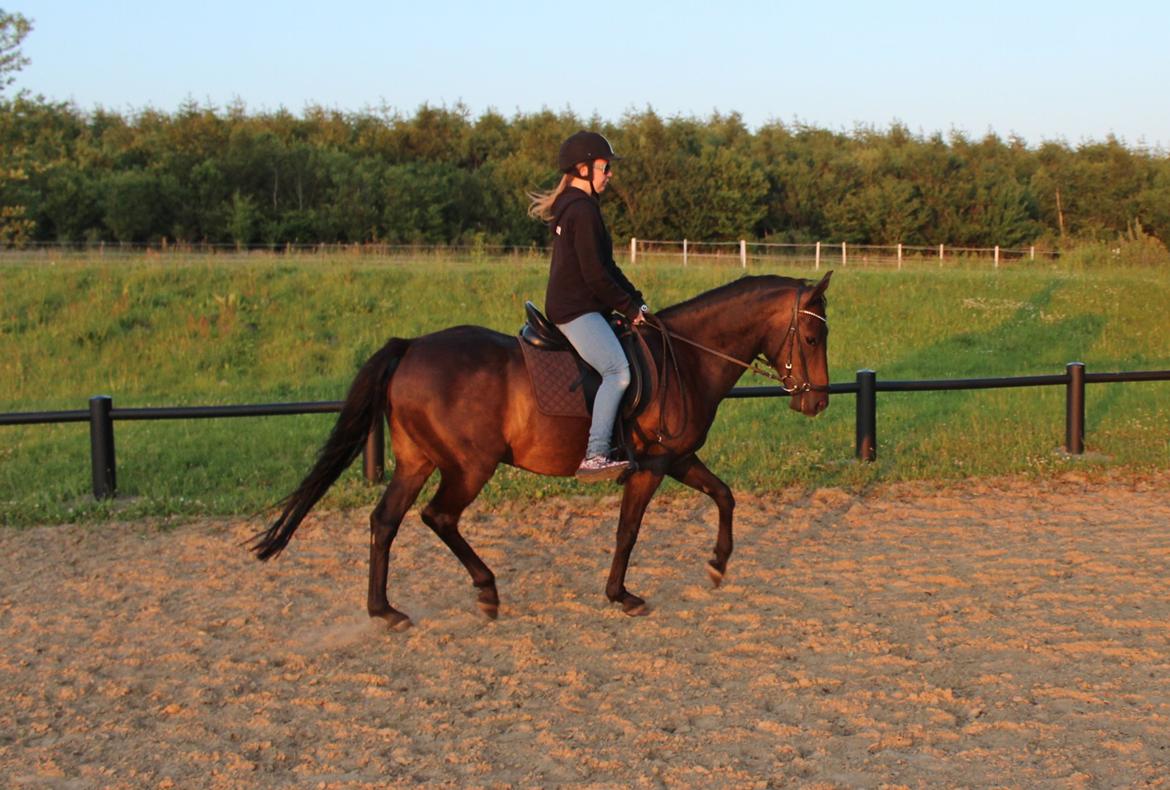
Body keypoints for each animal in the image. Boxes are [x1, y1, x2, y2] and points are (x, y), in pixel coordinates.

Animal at [250, 272, 832, 628]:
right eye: (811, 338)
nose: (819, 402)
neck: (684, 359)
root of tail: (411, 347)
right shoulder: (652, 466)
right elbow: (628, 530)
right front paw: (622, 595)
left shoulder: (678, 458)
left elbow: (725, 496)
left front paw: (717, 564)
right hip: (468, 466)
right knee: (438, 517)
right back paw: (486, 590)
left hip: (417, 461)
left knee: (384, 521)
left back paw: (384, 610)